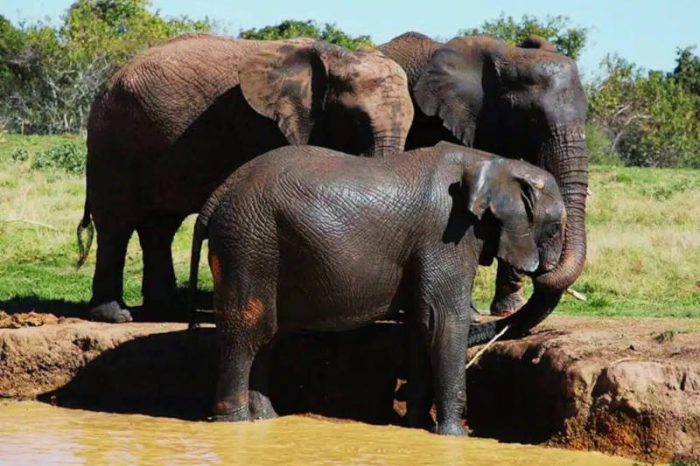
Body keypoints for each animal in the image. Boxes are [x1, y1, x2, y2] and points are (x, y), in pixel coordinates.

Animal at [76, 33, 416, 324]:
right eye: (355, 119)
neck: (333, 55)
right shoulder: (262, 123)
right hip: (112, 141)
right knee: (116, 224)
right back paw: (115, 315)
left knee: (160, 227)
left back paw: (165, 309)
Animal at [189, 141, 568, 434]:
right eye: (553, 229)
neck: (489, 161)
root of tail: (218, 194)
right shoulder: (447, 235)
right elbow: (444, 320)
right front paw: (454, 437)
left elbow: (421, 324)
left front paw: (416, 426)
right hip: (248, 242)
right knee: (249, 331)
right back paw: (235, 425)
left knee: (267, 334)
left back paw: (267, 419)